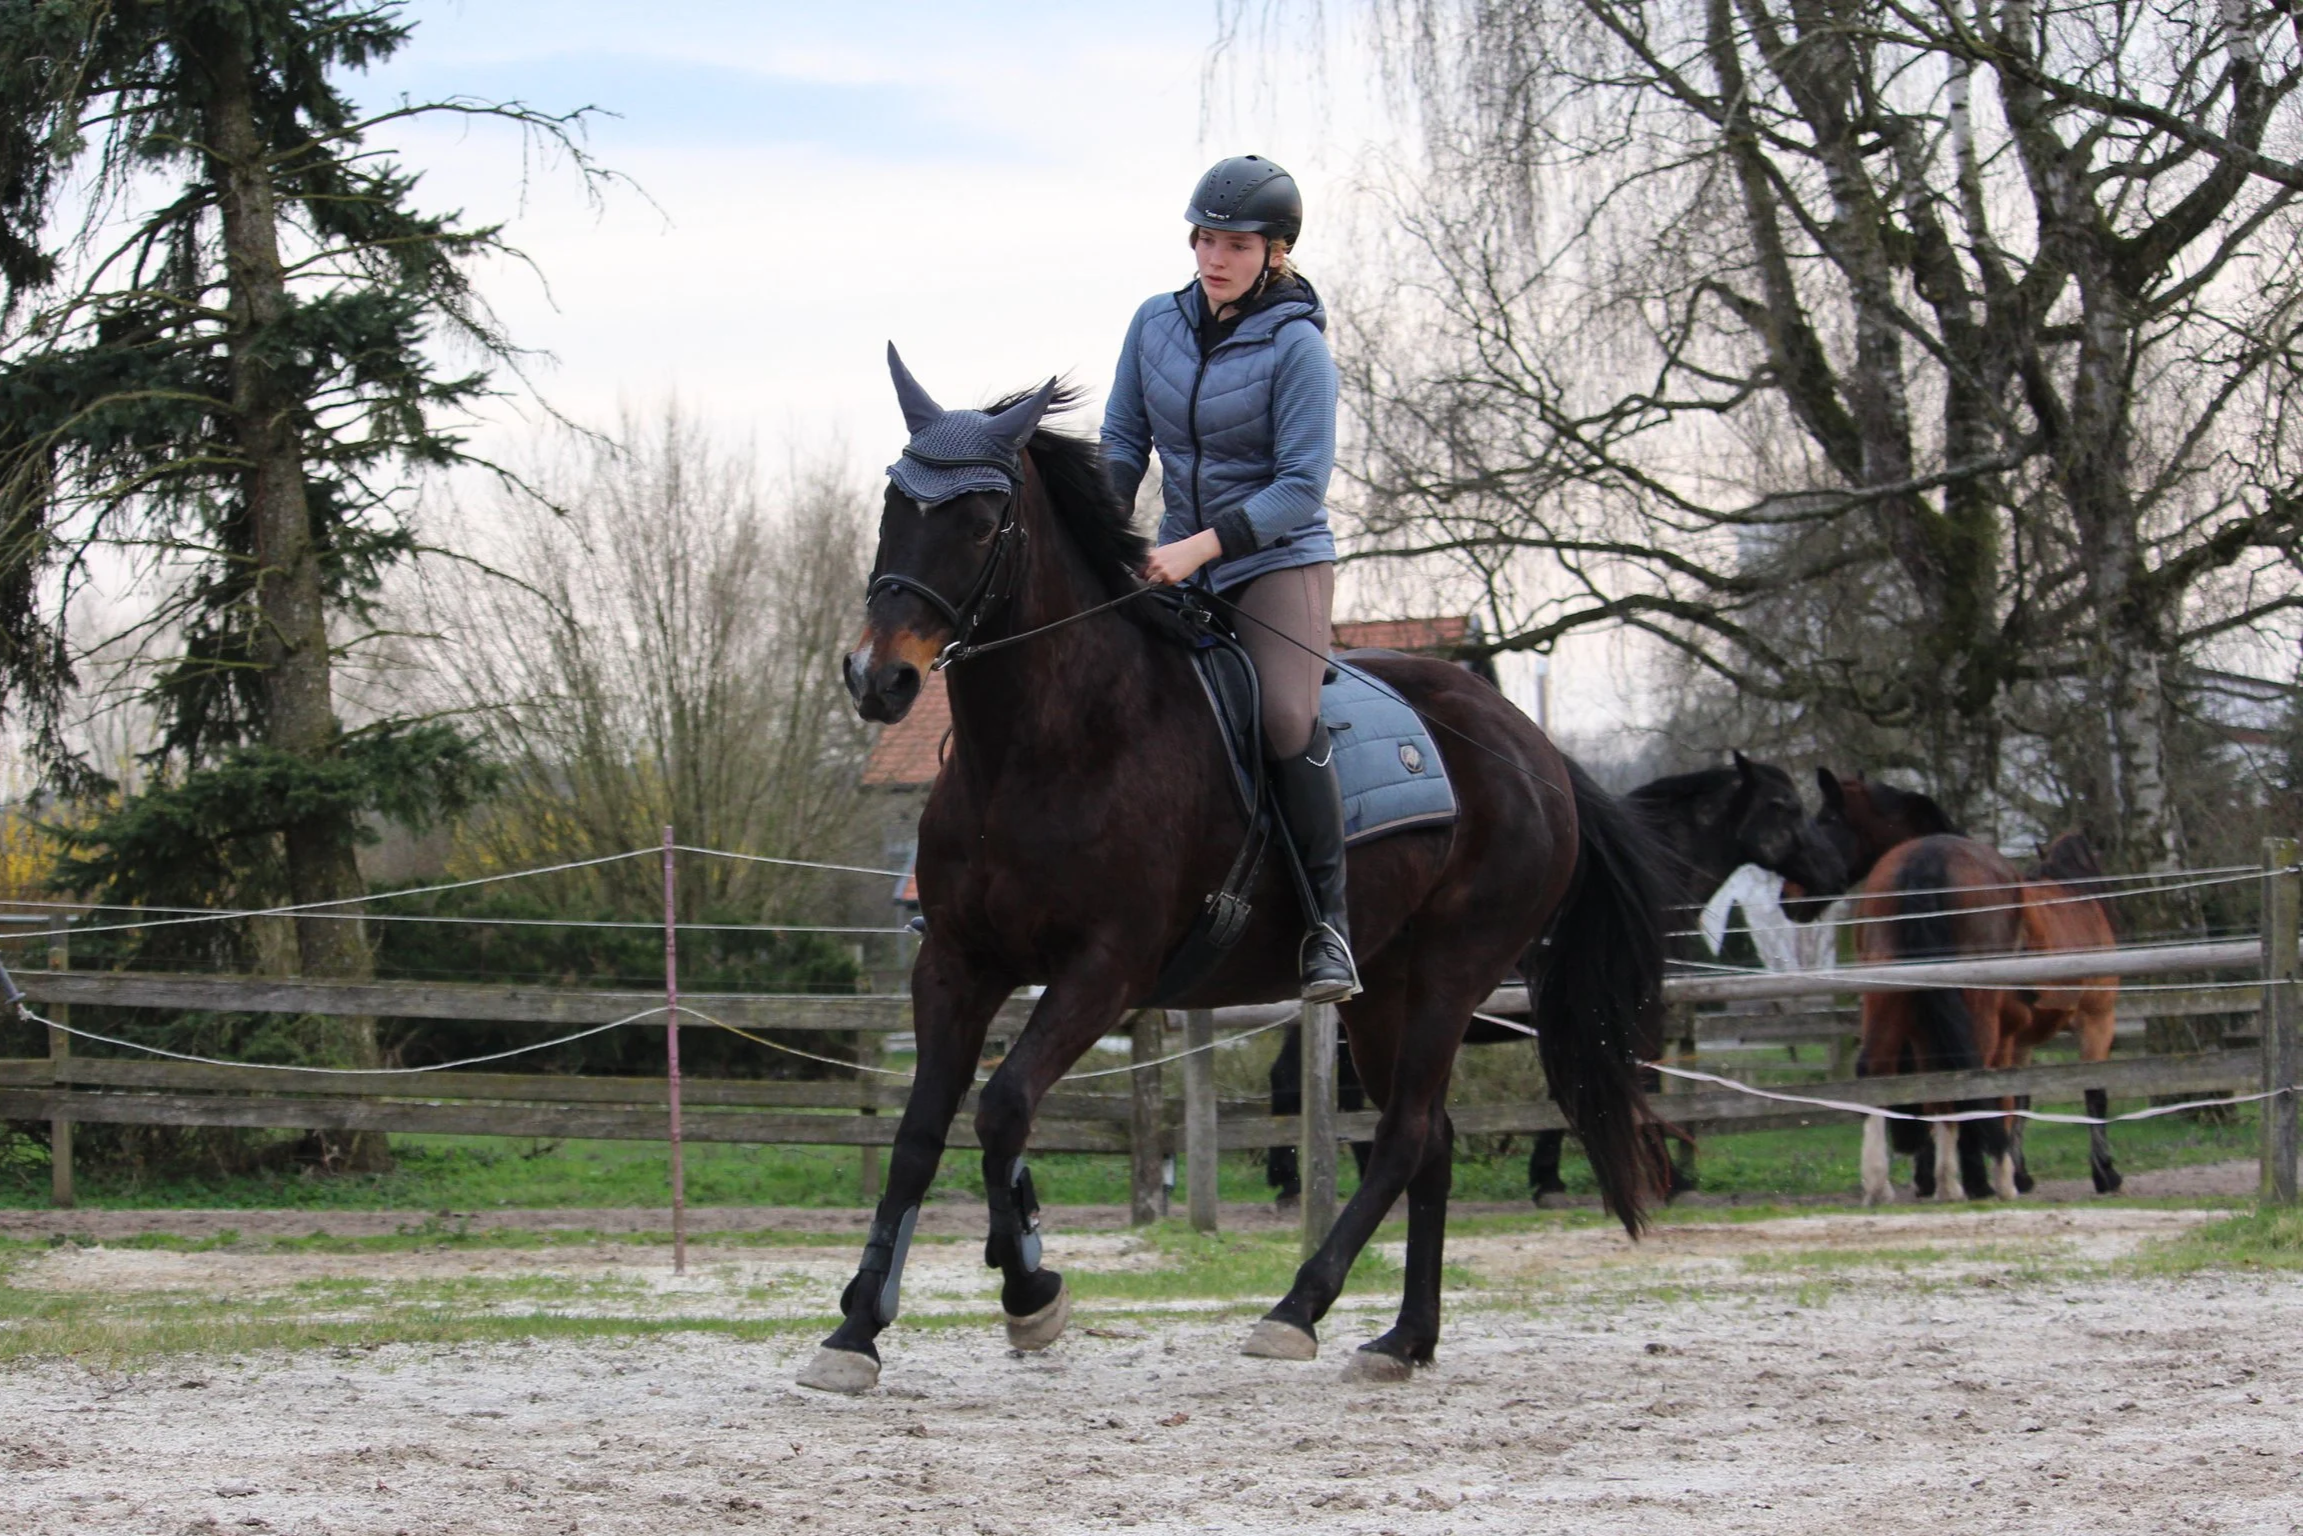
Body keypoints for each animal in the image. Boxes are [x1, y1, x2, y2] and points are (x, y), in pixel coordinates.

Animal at [807, 360, 1672, 1393]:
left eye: (980, 524)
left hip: (1452, 974)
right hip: (1385, 989)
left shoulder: (1106, 972)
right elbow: (918, 1135)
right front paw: (859, 1326)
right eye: (894, 507)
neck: (1040, 747)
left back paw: (1298, 1308)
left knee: (1403, 1136)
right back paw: (1403, 1338)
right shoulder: (955, 965)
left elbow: (1004, 1108)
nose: (878, 679)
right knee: (1431, 1142)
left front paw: (1030, 1292)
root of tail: (1535, 750)